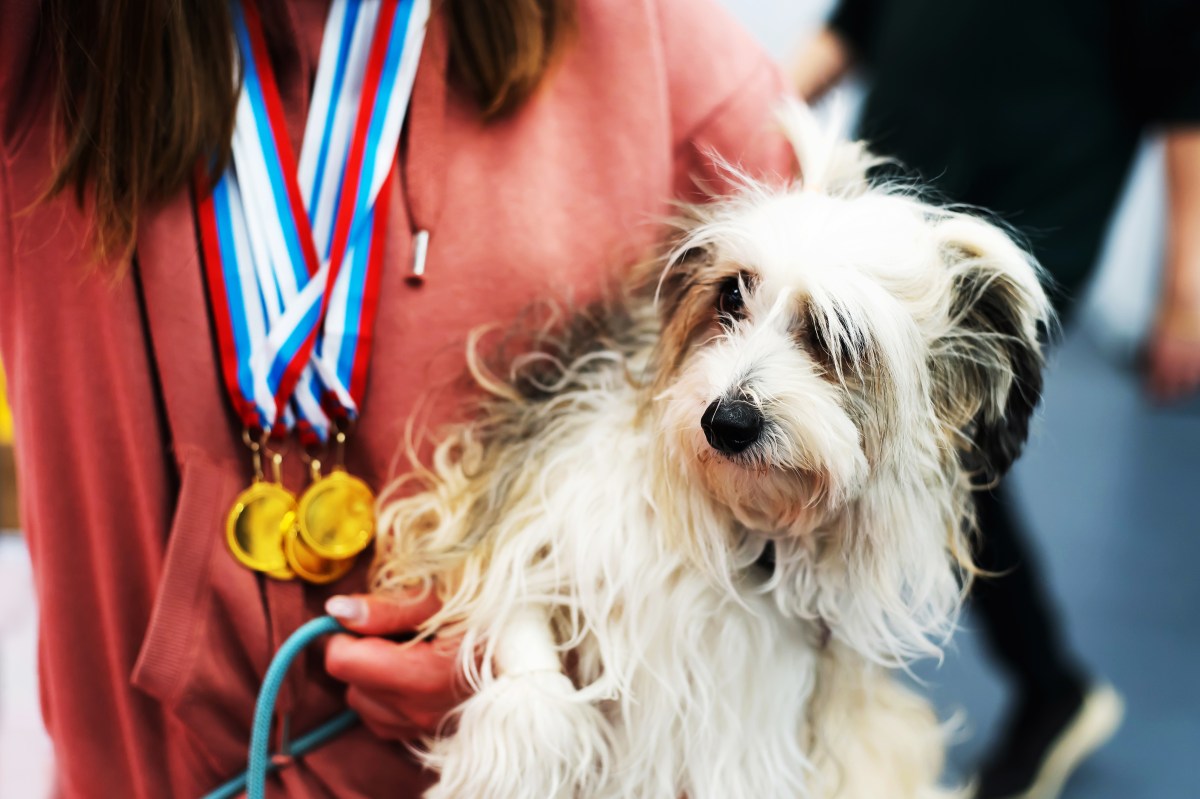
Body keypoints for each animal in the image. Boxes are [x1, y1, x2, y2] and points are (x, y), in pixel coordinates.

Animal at [372, 101, 1051, 796]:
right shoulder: (511, 502)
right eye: (731, 294)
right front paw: (525, 747)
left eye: (838, 337)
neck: (740, 528)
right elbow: (520, 619)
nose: (726, 421)